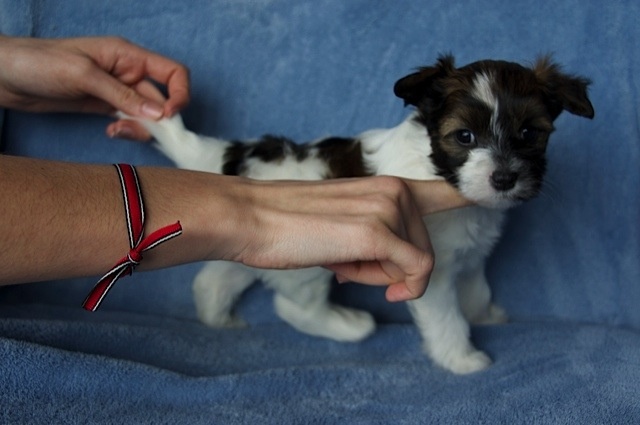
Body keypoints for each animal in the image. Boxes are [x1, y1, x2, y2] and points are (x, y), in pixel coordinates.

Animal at [130, 55, 593, 374]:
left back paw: (218, 319)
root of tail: (234, 158)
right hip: (308, 255)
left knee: (215, 280)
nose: (503, 178)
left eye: (529, 133)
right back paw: (347, 325)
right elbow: (446, 317)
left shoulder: (471, 254)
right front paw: (462, 358)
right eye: (464, 136)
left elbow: (475, 286)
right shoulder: (430, 267)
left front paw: (484, 314)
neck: (438, 172)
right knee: (292, 307)